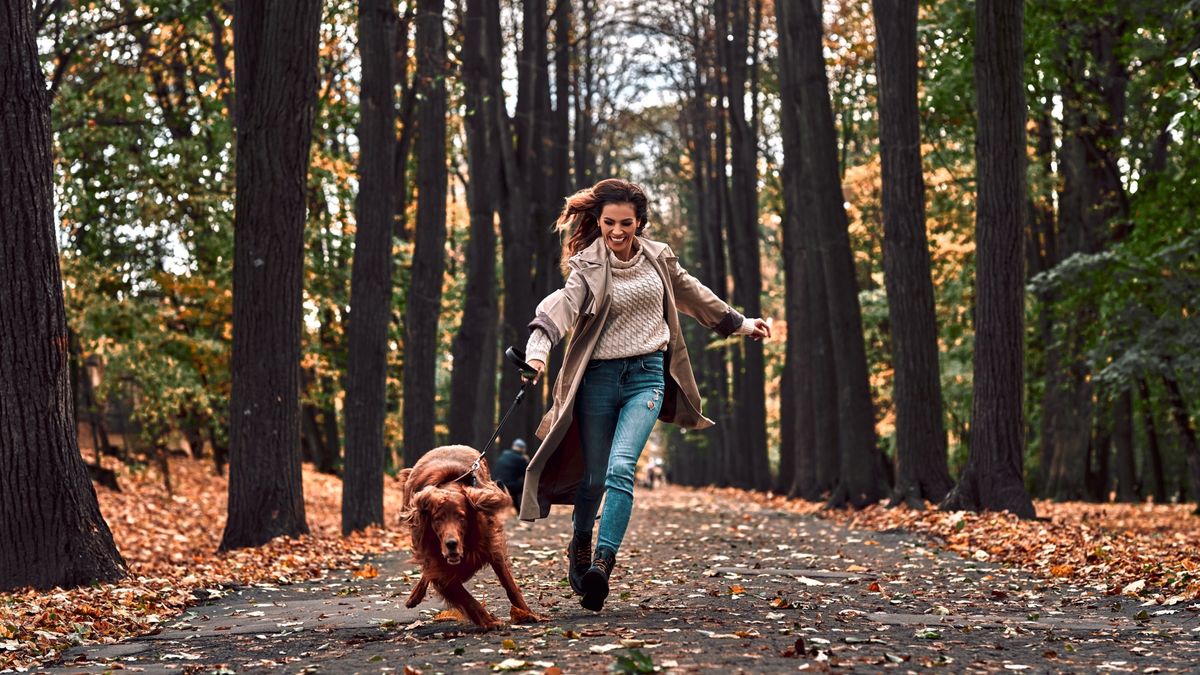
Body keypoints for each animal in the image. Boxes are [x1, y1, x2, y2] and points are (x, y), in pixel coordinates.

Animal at [398, 444, 540, 629]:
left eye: (461, 517)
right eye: (437, 519)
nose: (451, 544)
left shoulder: (491, 547)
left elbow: (509, 584)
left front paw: (525, 612)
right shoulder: (439, 567)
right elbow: (467, 598)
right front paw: (489, 621)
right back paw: (414, 597)